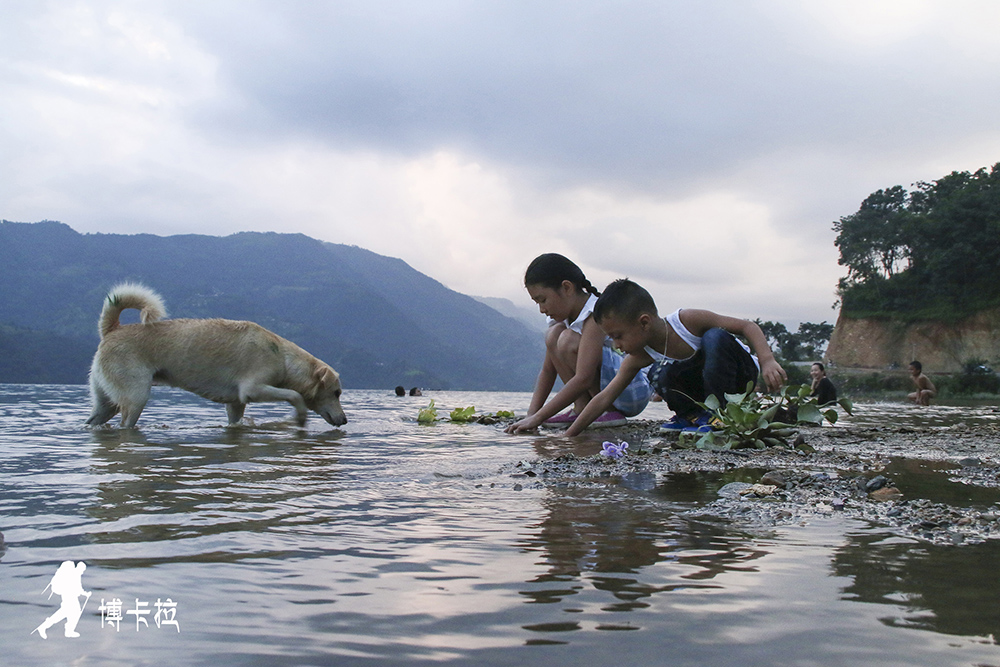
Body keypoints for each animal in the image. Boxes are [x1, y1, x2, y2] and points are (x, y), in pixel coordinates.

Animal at [87, 280, 352, 428]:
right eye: (336, 393)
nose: (345, 420)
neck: (284, 359)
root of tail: (112, 330)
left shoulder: (235, 403)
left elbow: (235, 420)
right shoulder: (252, 389)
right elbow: (294, 395)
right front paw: (300, 417)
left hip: (106, 402)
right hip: (136, 397)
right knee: (126, 424)